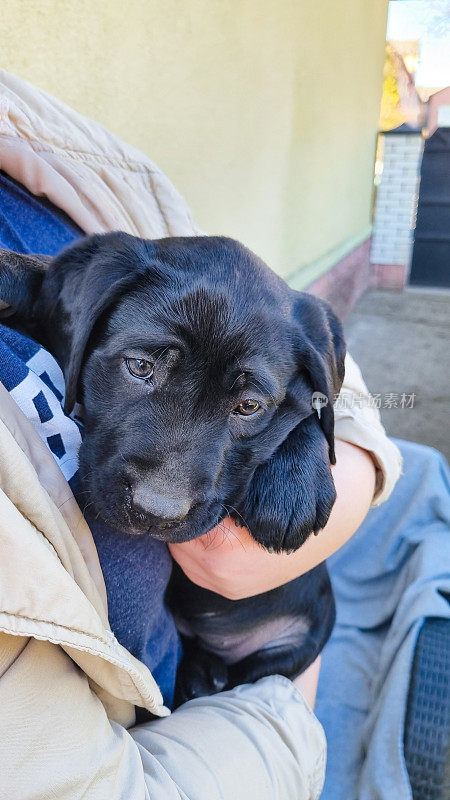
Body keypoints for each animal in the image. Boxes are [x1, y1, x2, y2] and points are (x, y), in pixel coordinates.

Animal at [0, 234, 344, 704]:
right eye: (140, 367)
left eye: (248, 406)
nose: (155, 514)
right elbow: (38, 276)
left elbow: (307, 408)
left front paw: (293, 487)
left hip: (303, 638)